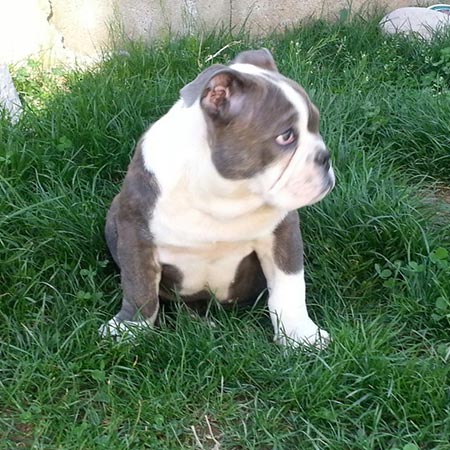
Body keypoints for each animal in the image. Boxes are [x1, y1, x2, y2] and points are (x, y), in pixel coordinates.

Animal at [100, 48, 335, 347]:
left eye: (316, 125)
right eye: (286, 136)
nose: (325, 157)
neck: (223, 193)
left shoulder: (283, 232)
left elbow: (289, 288)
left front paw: (301, 336)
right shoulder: (136, 235)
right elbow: (139, 287)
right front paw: (130, 328)